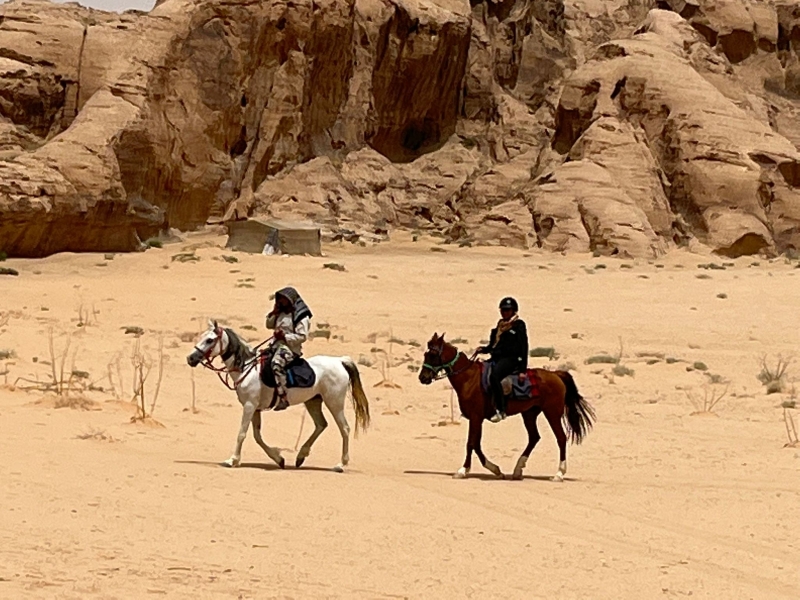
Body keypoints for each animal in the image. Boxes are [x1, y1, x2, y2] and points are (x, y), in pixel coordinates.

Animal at [188, 322, 372, 472]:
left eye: (209, 340)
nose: (190, 358)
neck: (246, 368)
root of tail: (340, 361)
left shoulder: (249, 405)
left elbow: (242, 433)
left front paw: (232, 460)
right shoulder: (255, 408)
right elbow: (257, 436)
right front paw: (279, 459)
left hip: (334, 402)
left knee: (345, 428)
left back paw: (341, 464)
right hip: (313, 401)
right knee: (321, 425)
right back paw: (301, 456)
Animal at [418, 332, 592, 482]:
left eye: (432, 355)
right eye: (425, 354)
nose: (422, 377)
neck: (469, 378)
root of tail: (556, 375)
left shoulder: (475, 417)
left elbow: (471, 443)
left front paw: (462, 471)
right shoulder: (477, 418)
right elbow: (476, 444)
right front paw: (496, 470)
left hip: (552, 412)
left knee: (561, 438)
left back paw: (559, 474)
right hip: (529, 413)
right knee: (534, 437)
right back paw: (518, 470)